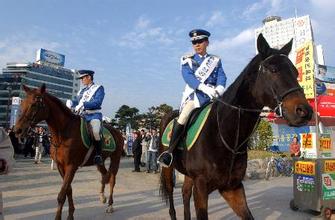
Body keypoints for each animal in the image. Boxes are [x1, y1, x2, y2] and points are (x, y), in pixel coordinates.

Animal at [14, 84, 124, 220]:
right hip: (99, 161)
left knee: (112, 179)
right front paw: (70, 215)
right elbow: (68, 190)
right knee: (105, 175)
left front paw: (59, 217)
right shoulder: (61, 166)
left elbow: (62, 194)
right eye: (22, 103)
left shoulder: (71, 166)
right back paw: (102, 196)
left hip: (116, 158)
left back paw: (110, 205)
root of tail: (117, 131)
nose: (17, 130)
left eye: (34, 104)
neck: (63, 132)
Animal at [160, 33, 316, 219]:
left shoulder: (232, 187)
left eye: (295, 71)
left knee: (184, 193)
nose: (305, 111)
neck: (226, 136)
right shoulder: (201, 188)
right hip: (168, 170)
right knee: (171, 195)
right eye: (273, 70)